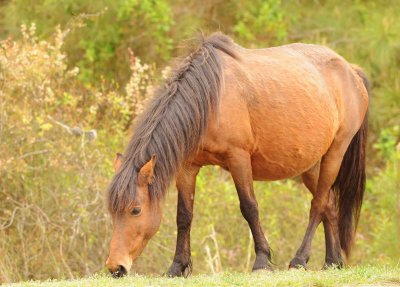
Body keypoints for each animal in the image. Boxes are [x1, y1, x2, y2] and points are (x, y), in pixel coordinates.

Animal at [104, 32, 368, 278]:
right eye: (112, 211)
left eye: (135, 210)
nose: (115, 267)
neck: (210, 99)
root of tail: (351, 70)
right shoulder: (187, 167)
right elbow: (184, 216)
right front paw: (177, 266)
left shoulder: (238, 158)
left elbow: (249, 207)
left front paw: (262, 260)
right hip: (311, 165)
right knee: (329, 205)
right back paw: (332, 261)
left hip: (336, 152)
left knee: (318, 204)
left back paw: (300, 259)